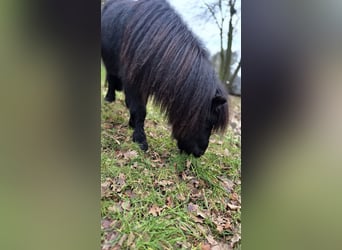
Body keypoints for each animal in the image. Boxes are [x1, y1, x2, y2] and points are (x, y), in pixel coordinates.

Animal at [101, 0, 230, 156]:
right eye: (208, 121)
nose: (200, 153)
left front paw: (132, 124)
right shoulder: (134, 80)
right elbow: (140, 110)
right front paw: (140, 140)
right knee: (111, 78)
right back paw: (109, 98)